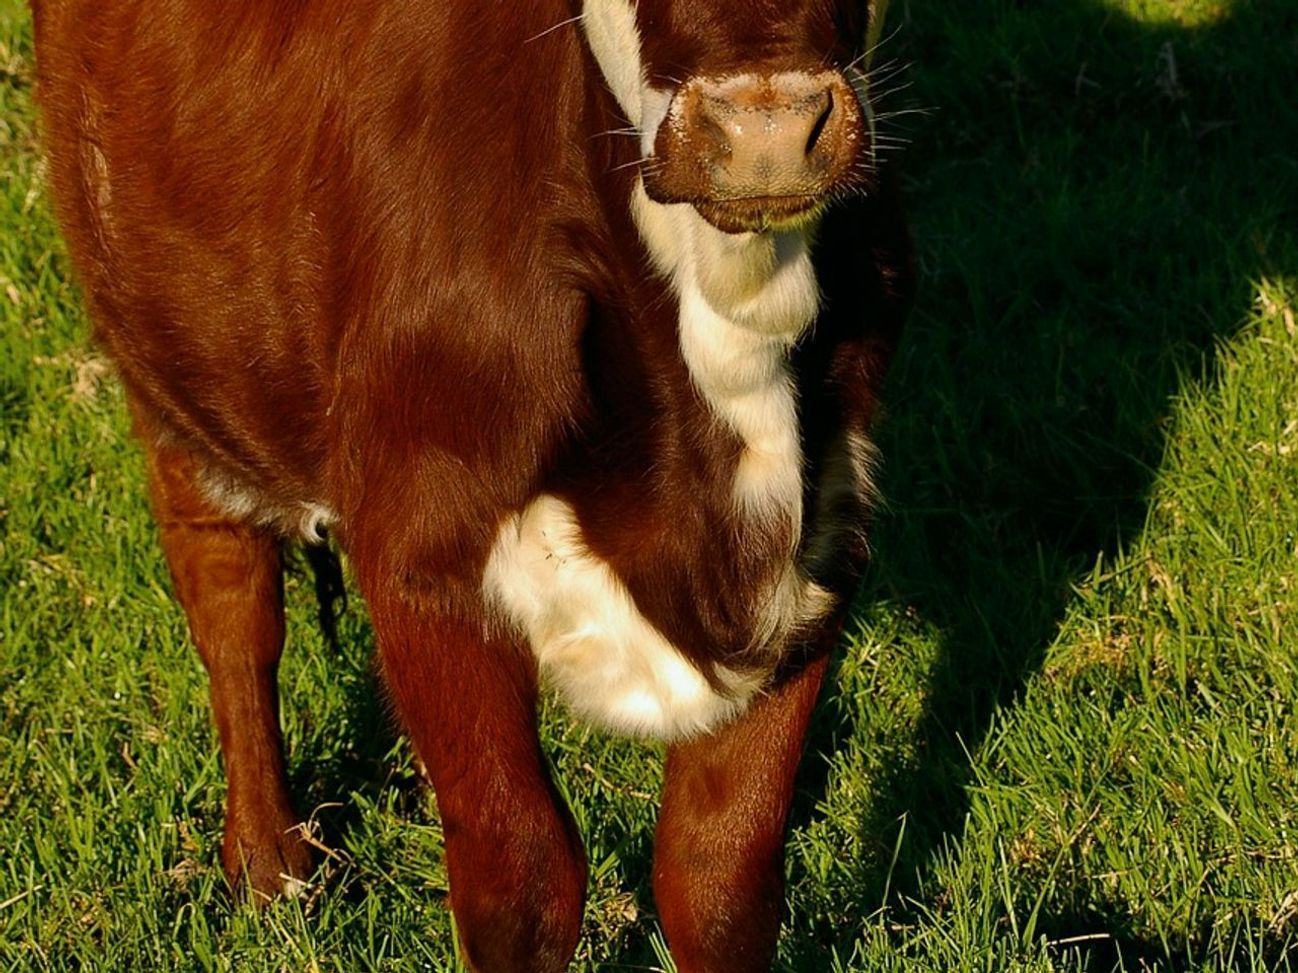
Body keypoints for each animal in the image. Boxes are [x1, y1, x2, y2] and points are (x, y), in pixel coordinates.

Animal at [31, 0, 914, 969]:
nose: (767, 129)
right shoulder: (422, 564)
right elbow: (520, 876)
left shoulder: (817, 554)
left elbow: (719, 877)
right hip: (170, 369)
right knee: (232, 607)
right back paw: (269, 866)